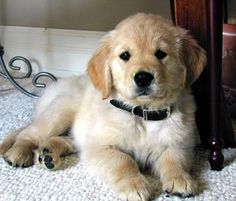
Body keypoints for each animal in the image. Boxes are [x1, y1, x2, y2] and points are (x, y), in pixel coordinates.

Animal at [0, 13, 206, 200]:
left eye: (161, 54)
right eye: (125, 55)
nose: (143, 78)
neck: (142, 113)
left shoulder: (181, 143)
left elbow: (174, 159)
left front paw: (180, 179)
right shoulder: (99, 147)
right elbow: (123, 161)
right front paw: (135, 186)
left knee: (66, 140)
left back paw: (48, 154)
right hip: (60, 114)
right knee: (29, 134)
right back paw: (19, 153)